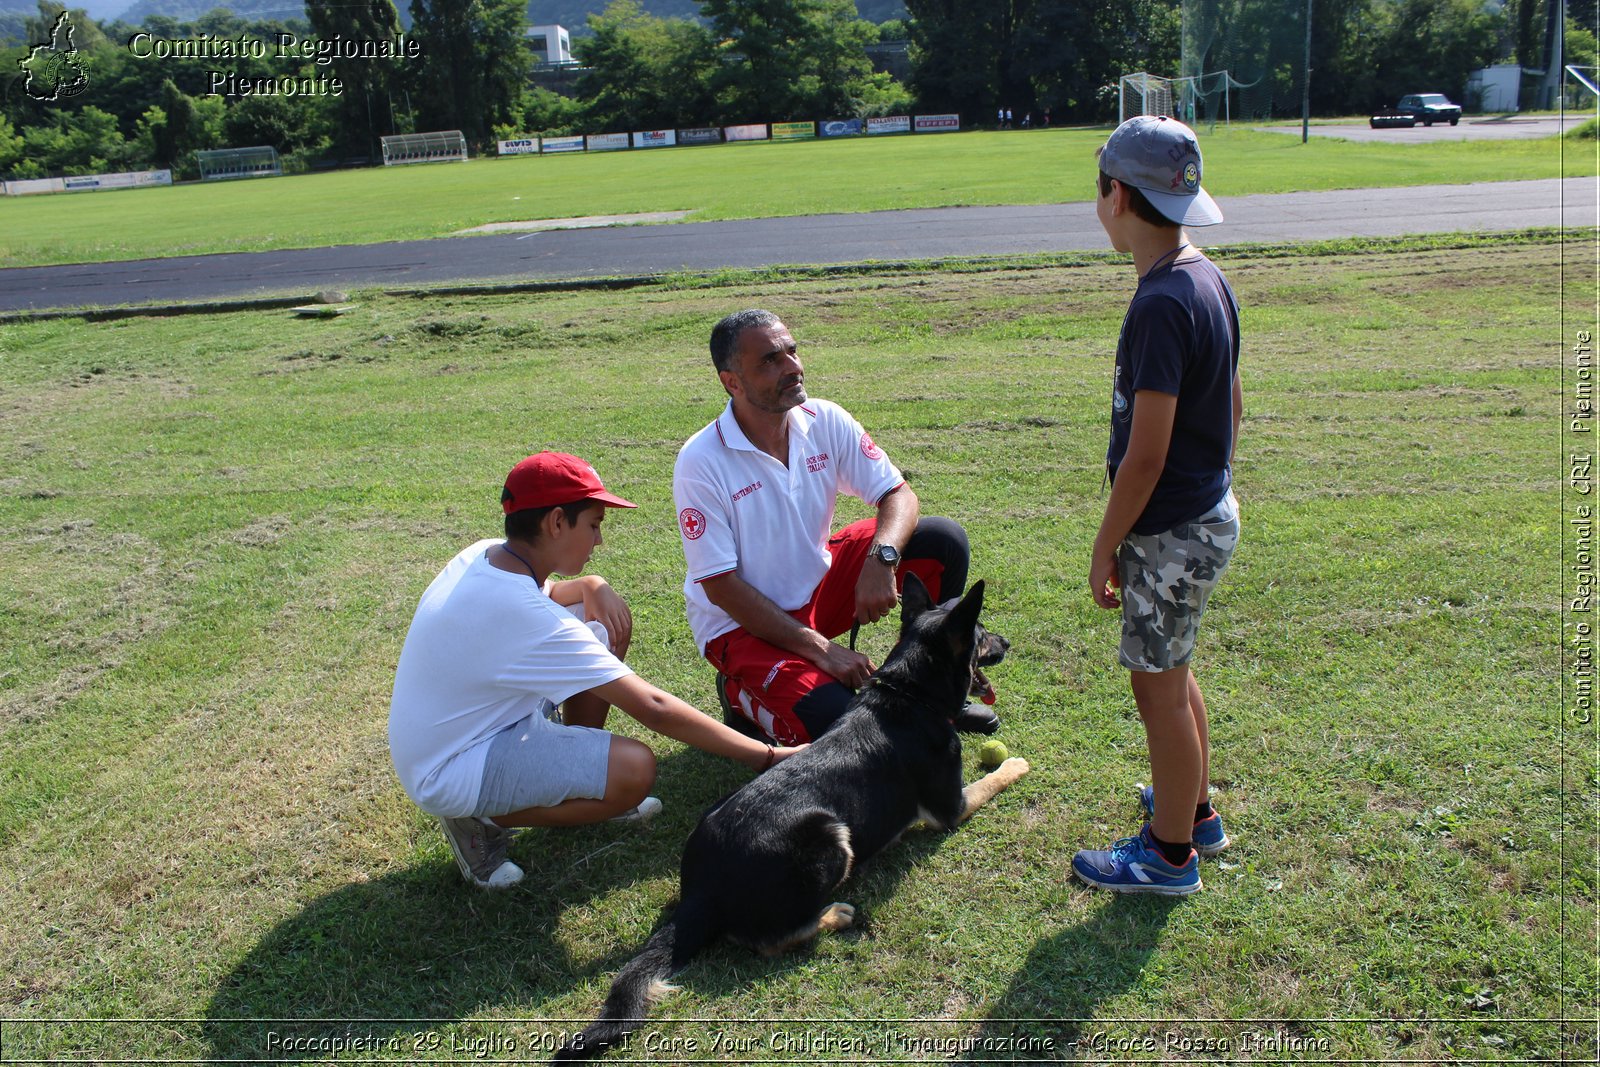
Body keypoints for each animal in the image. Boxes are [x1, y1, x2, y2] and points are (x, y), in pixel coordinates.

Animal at [556, 579, 1030, 1062]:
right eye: (982, 635)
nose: (1008, 643)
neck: (909, 692)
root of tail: (702, 893)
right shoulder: (950, 807)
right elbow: (993, 778)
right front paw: (1016, 764)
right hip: (831, 837)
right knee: (770, 940)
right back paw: (834, 915)